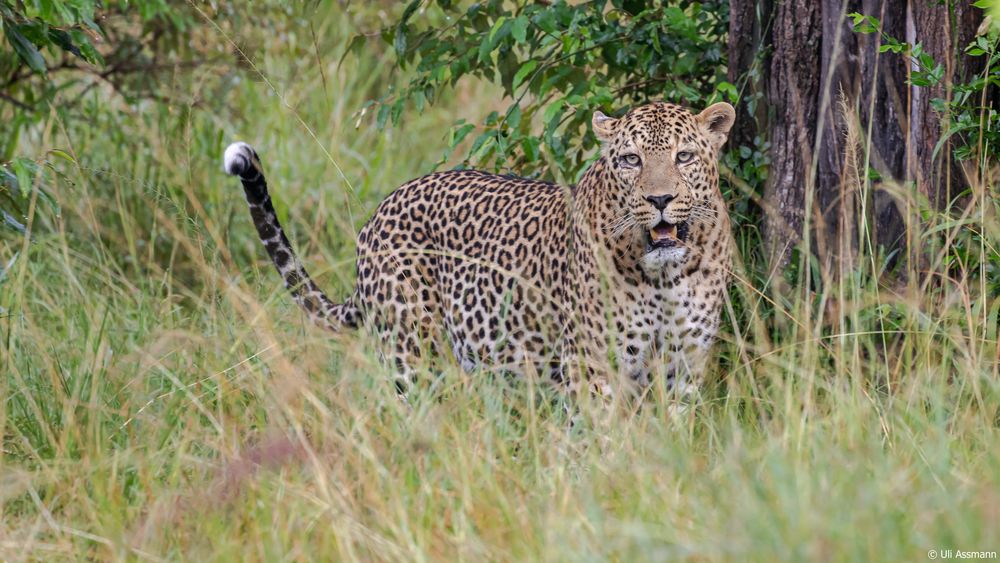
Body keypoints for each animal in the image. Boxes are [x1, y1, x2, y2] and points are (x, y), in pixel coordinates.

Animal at [229, 101, 744, 398]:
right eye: (631, 160)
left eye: (684, 156)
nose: (659, 200)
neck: (663, 279)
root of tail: (378, 214)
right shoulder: (591, 366)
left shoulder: (684, 367)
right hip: (411, 354)